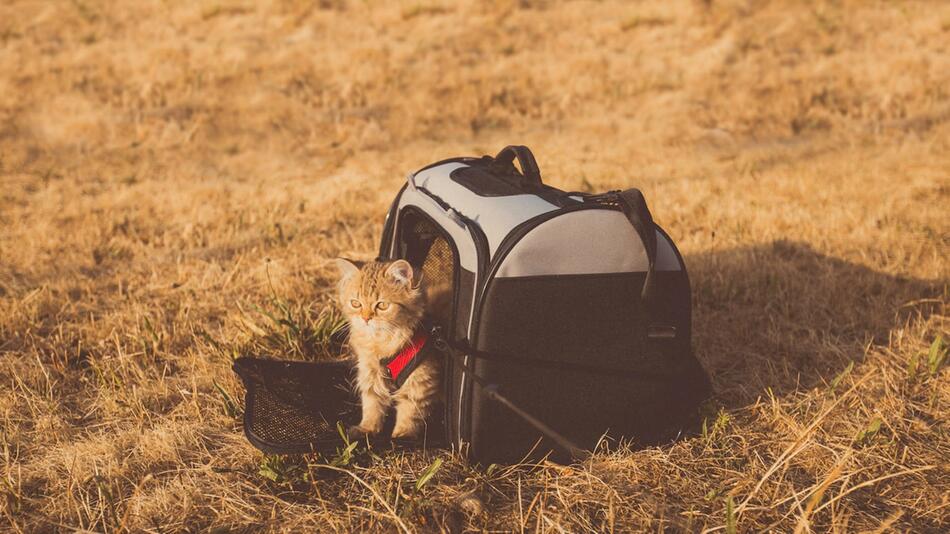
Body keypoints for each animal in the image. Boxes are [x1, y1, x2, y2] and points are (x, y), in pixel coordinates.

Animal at [332, 258, 440, 440]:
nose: (366, 318)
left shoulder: (420, 382)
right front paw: (367, 429)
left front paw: (402, 436)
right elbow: (372, 405)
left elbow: (410, 414)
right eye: (356, 304)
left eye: (382, 305)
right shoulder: (370, 373)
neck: (381, 343)